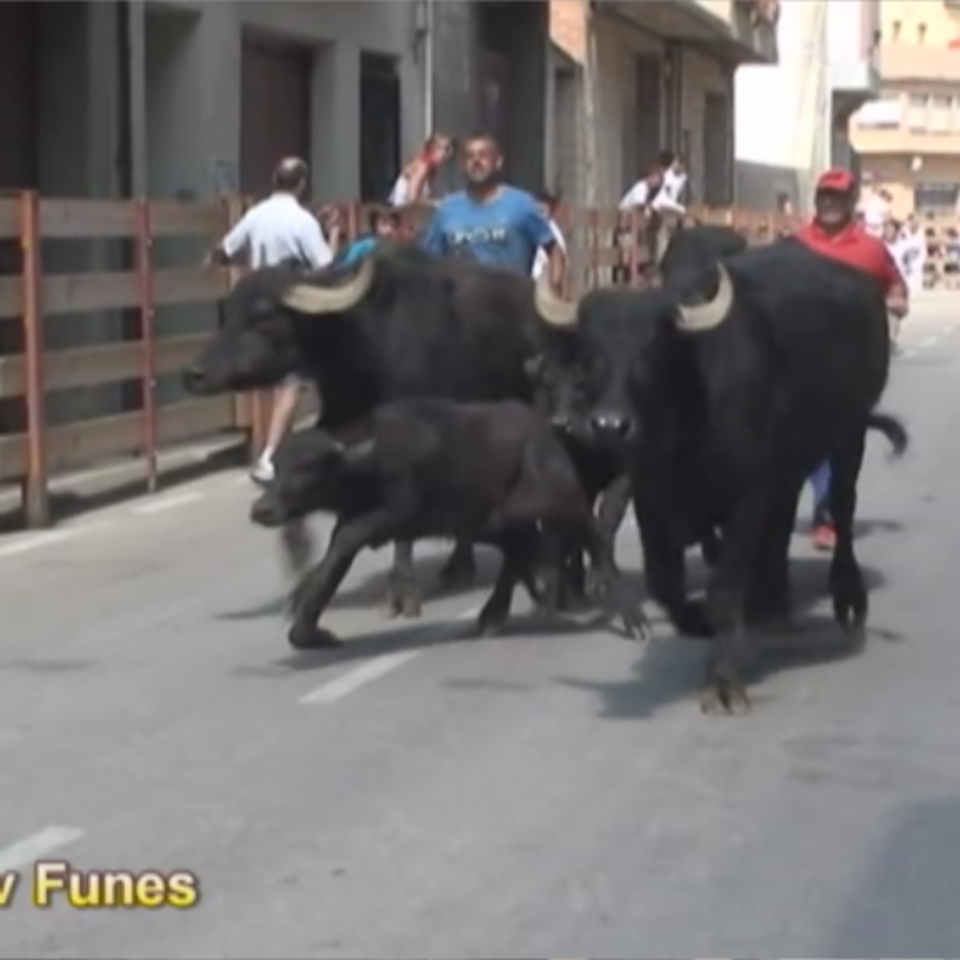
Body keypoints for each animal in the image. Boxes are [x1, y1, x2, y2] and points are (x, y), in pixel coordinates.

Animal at [185, 246, 580, 624]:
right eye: (228, 312)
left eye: (265, 317)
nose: (195, 374)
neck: (367, 347)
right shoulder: (337, 428)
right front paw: (299, 573)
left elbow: (402, 525)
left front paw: (400, 594)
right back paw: (460, 566)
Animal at [536, 238, 912, 712]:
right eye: (589, 353)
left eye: (654, 349)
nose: (609, 425)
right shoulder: (652, 499)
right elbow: (664, 584)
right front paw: (697, 622)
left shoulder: (744, 499)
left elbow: (724, 591)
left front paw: (723, 683)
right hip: (788, 464)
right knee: (782, 521)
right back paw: (770, 602)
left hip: (849, 432)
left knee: (843, 507)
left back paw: (845, 596)